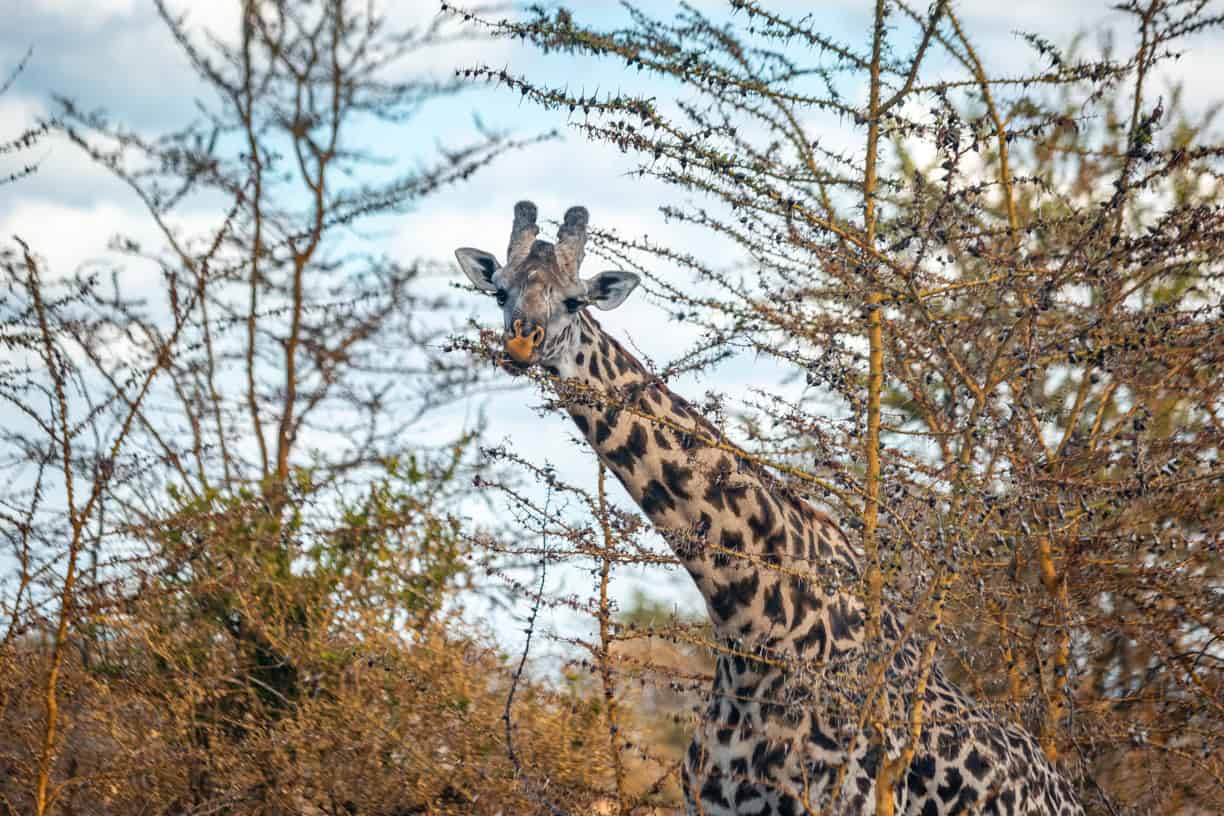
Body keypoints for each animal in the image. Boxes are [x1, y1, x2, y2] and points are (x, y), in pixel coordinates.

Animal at [456, 202, 1083, 816]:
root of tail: (1065, 790)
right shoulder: (711, 805)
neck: (752, 621)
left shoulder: (842, 804)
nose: (521, 343)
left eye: (574, 299)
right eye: (500, 292)